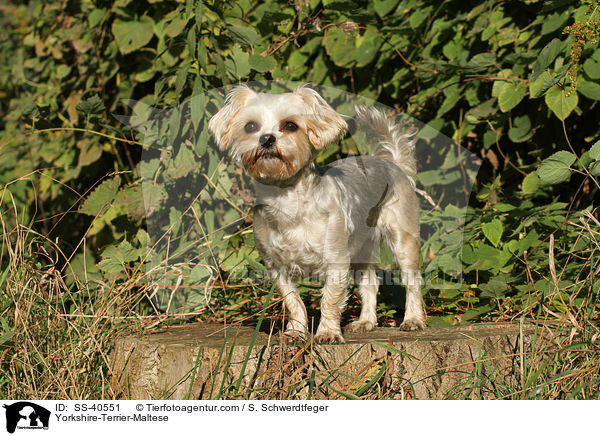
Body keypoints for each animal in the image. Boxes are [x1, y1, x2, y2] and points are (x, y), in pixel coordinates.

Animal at [209, 85, 424, 344]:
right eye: (250, 126)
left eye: (290, 125)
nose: (267, 138)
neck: (286, 199)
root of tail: (392, 162)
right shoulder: (276, 268)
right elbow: (293, 302)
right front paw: (296, 332)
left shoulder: (336, 260)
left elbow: (330, 299)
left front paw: (328, 332)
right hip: (360, 250)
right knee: (370, 283)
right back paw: (366, 321)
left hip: (402, 239)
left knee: (412, 281)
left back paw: (413, 320)